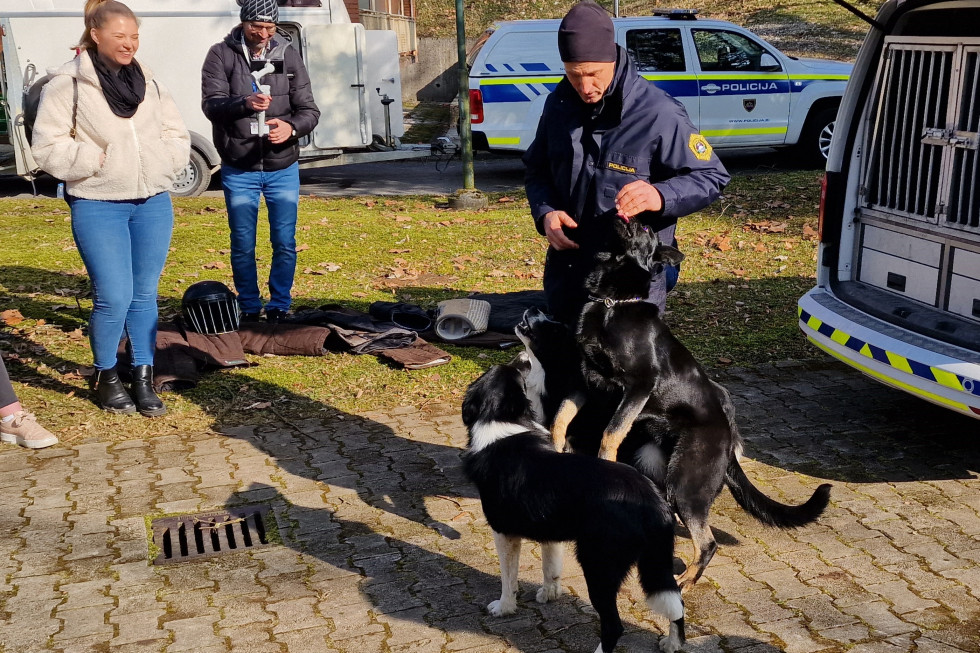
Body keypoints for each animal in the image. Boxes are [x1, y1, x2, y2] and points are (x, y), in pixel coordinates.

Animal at [462, 364, 684, 648]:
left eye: (516, 373)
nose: (523, 361)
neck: (497, 419)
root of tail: (652, 499)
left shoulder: (504, 533)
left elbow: (508, 578)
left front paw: (504, 608)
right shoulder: (549, 531)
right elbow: (550, 566)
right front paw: (549, 593)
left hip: (598, 564)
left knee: (614, 625)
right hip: (656, 563)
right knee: (676, 604)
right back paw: (672, 644)